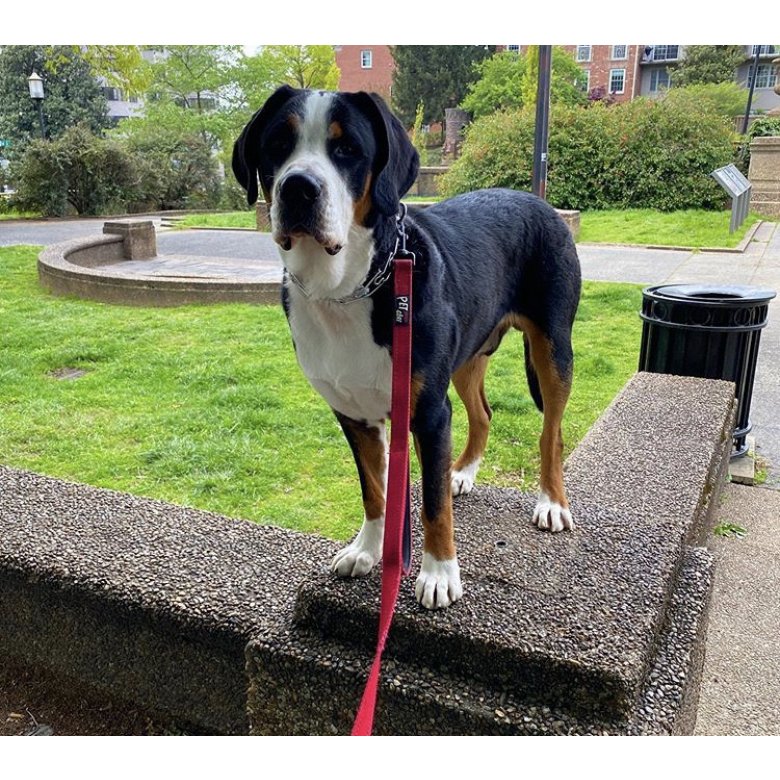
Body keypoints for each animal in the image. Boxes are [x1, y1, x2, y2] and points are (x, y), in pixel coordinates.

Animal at [232, 87, 580, 608]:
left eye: (347, 149)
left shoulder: (429, 411)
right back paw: (462, 472)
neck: (347, 289)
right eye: (277, 144)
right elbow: (375, 489)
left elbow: (432, 504)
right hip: (466, 357)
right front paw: (367, 550)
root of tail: (535, 198)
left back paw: (552, 502)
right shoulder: (354, 414)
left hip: (553, 347)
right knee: (482, 415)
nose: (298, 189)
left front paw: (438, 573)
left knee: (550, 432)